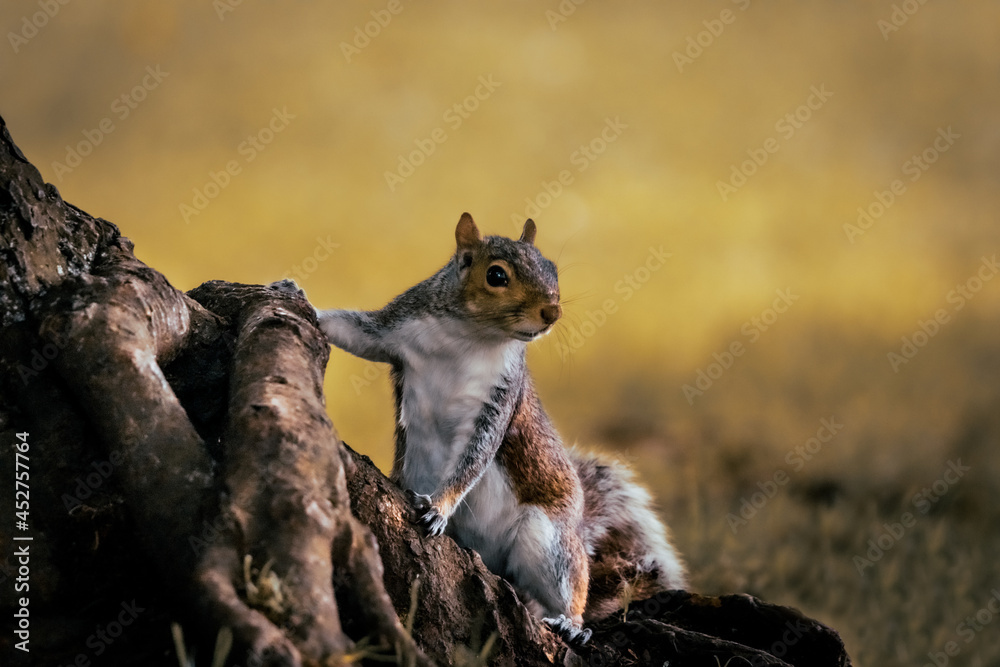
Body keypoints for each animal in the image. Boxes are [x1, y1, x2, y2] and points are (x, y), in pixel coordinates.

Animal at [312, 214, 688, 648]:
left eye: (552, 270)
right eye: (496, 275)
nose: (552, 312)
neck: (469, 335)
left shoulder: (499, 398)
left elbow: (476, 455)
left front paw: (440, 507)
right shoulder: (395, 329)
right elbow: (356, 331)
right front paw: (294, 294)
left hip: (547, 540)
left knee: (569, 583)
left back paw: (570, 623)